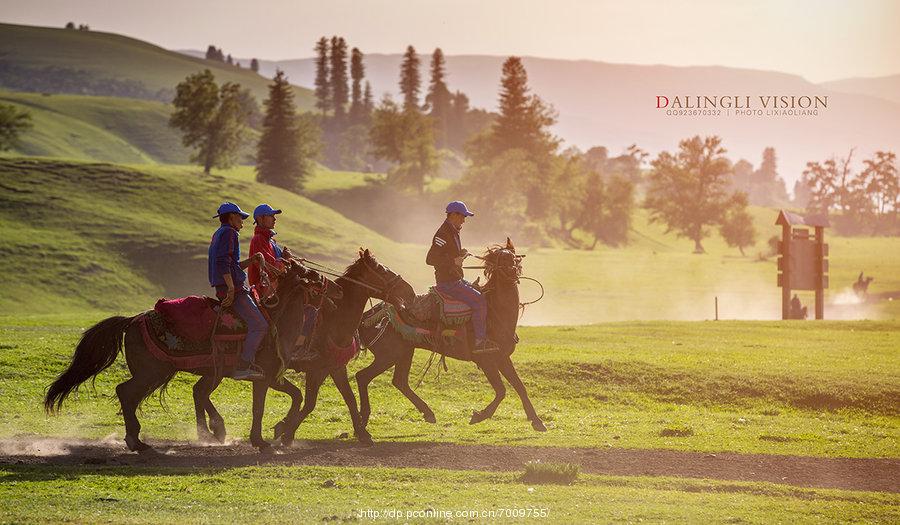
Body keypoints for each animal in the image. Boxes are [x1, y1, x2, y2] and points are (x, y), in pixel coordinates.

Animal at [356, 237, 544, 434]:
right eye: (502, 259)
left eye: (514, 258)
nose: (514, 271)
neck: (495, 313)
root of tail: (367, 317)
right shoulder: (486, 360)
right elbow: (501, 390)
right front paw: (479, 415)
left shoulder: (502, 358)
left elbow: (519, 387)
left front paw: (536, 421)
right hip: (388, 355)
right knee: (363, 377)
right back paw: (364, 419)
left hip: (404, 353)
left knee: (399, 381)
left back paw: (427, 413)